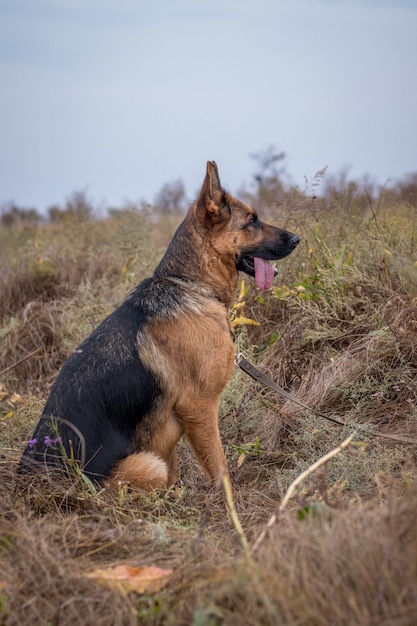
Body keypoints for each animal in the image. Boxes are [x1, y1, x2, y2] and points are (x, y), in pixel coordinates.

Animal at [19, 163, 300, 490]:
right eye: (252, 220)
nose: (297, 239)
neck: (192, 285)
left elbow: (178, 469)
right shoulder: (199, 407)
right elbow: (220, 467)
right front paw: (227, 499)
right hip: (148, 465)